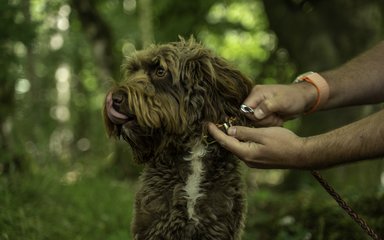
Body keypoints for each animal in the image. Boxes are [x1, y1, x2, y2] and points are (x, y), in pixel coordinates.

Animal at [103, 38, 254, 239]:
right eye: (132, 72)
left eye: (160, 71)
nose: (114, 99)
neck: (192, 149)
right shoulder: (155, 225)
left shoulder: (219, 225)